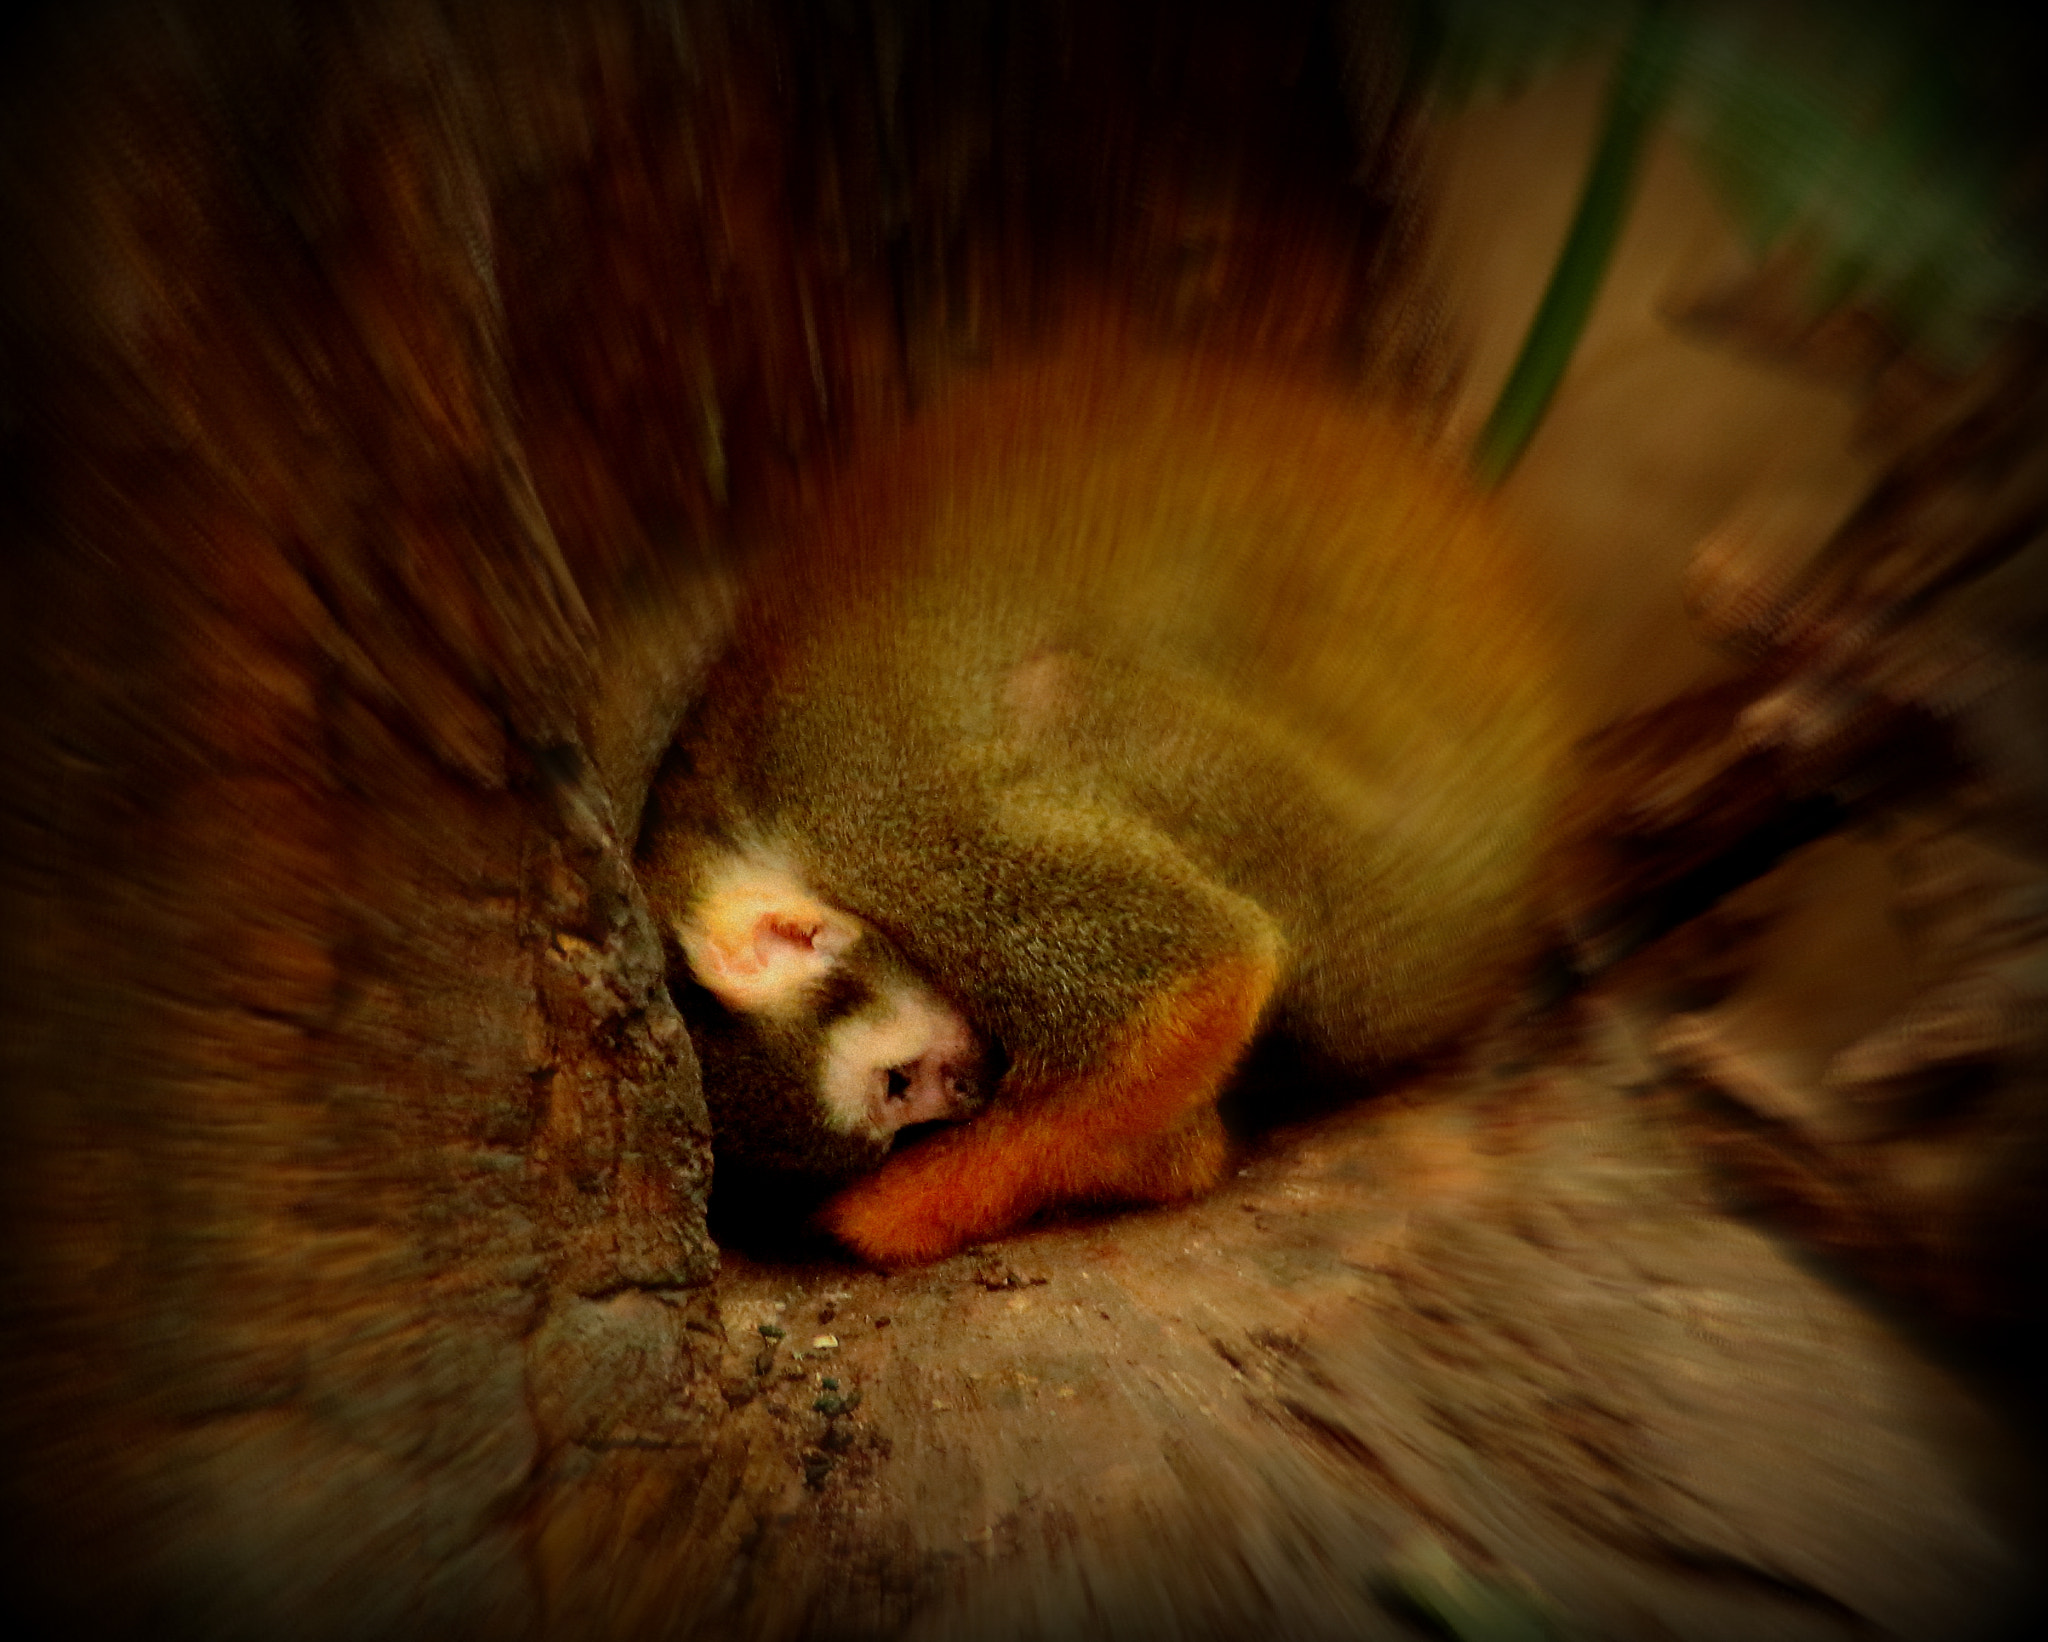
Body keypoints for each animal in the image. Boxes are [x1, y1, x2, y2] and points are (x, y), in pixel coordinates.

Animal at [638, 332, 1575, 1267]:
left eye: (896, 1084)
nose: (968, 1093)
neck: (748, 820)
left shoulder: (893, 830)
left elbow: (1198, 974)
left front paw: (870, 1219)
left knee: (1066, 694)